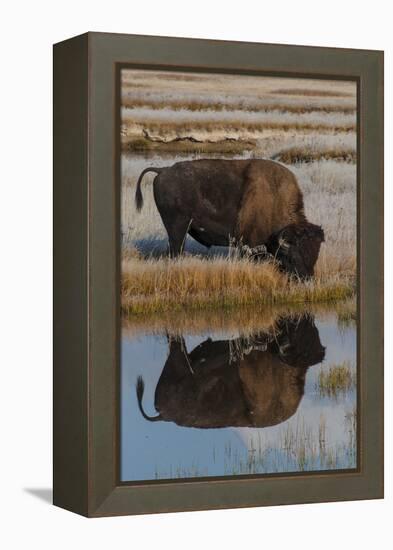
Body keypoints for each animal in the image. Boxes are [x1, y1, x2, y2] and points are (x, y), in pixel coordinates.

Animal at [136, 160, 324, 280]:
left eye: (315, 254)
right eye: (294, 256)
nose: (307, 278)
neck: (275, 197)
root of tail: (163, 170)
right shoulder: (250, 245)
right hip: (177, 228)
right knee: (176, 249)